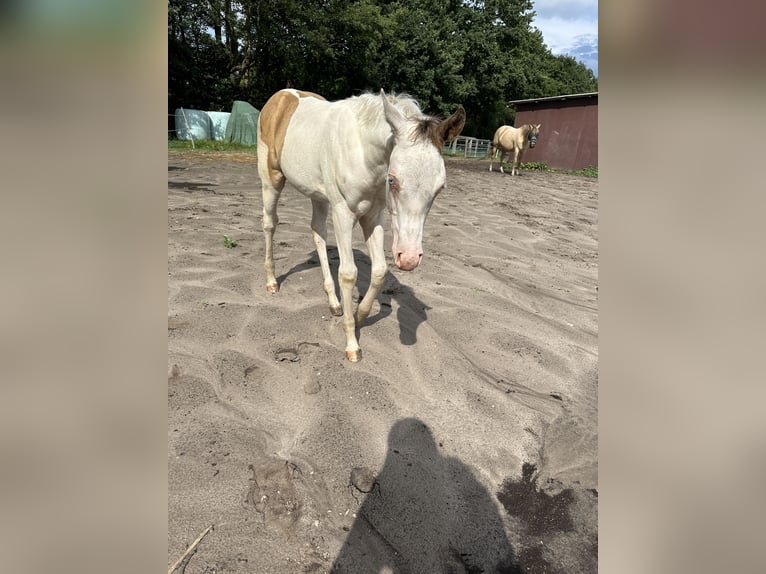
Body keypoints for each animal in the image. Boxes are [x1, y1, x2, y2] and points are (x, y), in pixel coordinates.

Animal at [256, 88, 468, 362]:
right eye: (392, 180)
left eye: (440, 187)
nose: (409, 259)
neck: (363, 154)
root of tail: (281, 95)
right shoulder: (343, 213)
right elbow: (348, 273)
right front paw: (352, 345)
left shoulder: (374, 216)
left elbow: (379, 270)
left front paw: (357, 316)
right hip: (271, 179)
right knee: (270, 224)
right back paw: (272, 281)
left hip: (318, 195)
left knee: (317, 232)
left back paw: (334, 303)